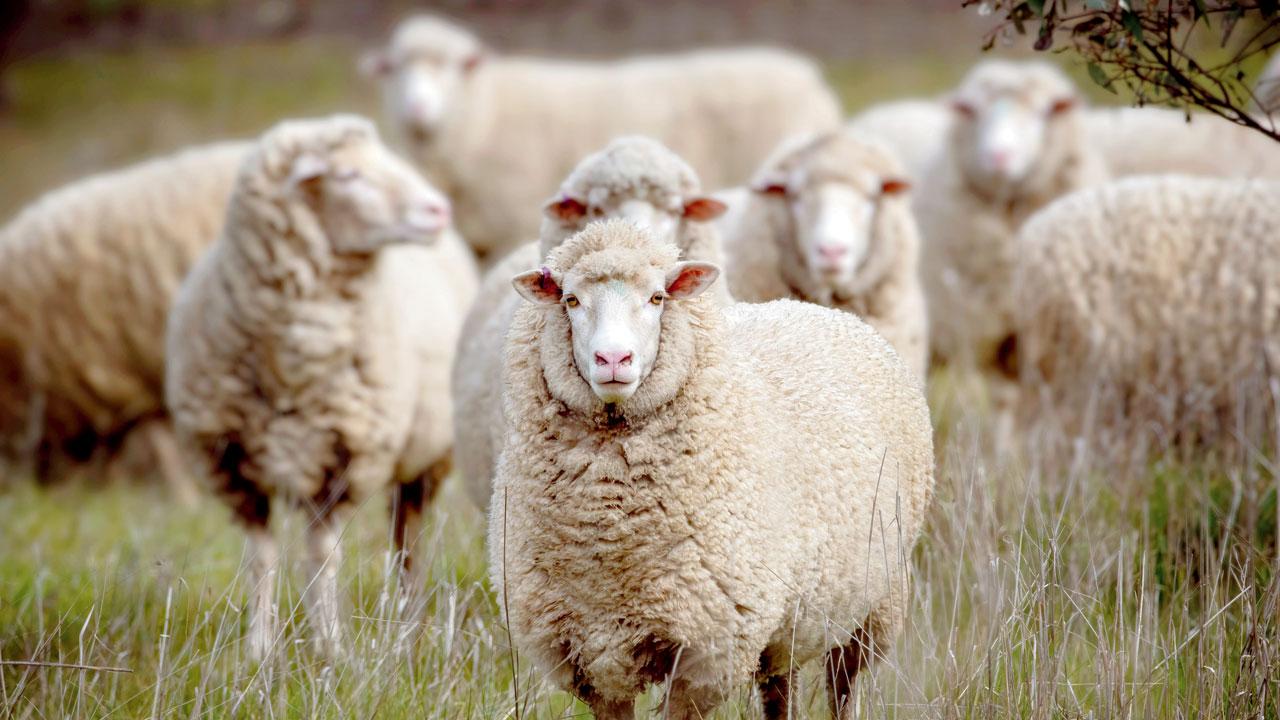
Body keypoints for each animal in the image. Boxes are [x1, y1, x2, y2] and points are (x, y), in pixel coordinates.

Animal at [166, 115, 477, 659]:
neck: (294, 361)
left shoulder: (343, 461)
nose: (438, 209)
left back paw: (410, 622)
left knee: (409, 541)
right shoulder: (235, 470)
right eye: (348, 175)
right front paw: (259, 649)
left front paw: (331, 648)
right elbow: (261, 560)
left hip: (425, 458)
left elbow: (321, 559)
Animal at [361, 14, 841, 261]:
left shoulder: (506, 226)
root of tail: (809, 74)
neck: (483, 112)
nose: (417, 107)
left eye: (454, 68)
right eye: (396, 69)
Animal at [490, 219, 934, 719]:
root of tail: (816, 309)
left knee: (844, 687)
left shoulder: (705, 653)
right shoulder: (592, 656)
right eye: (571, 300)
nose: (613, 360)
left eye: (657, 297)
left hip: (874, 605)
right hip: (786, 620)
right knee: (780, 689)